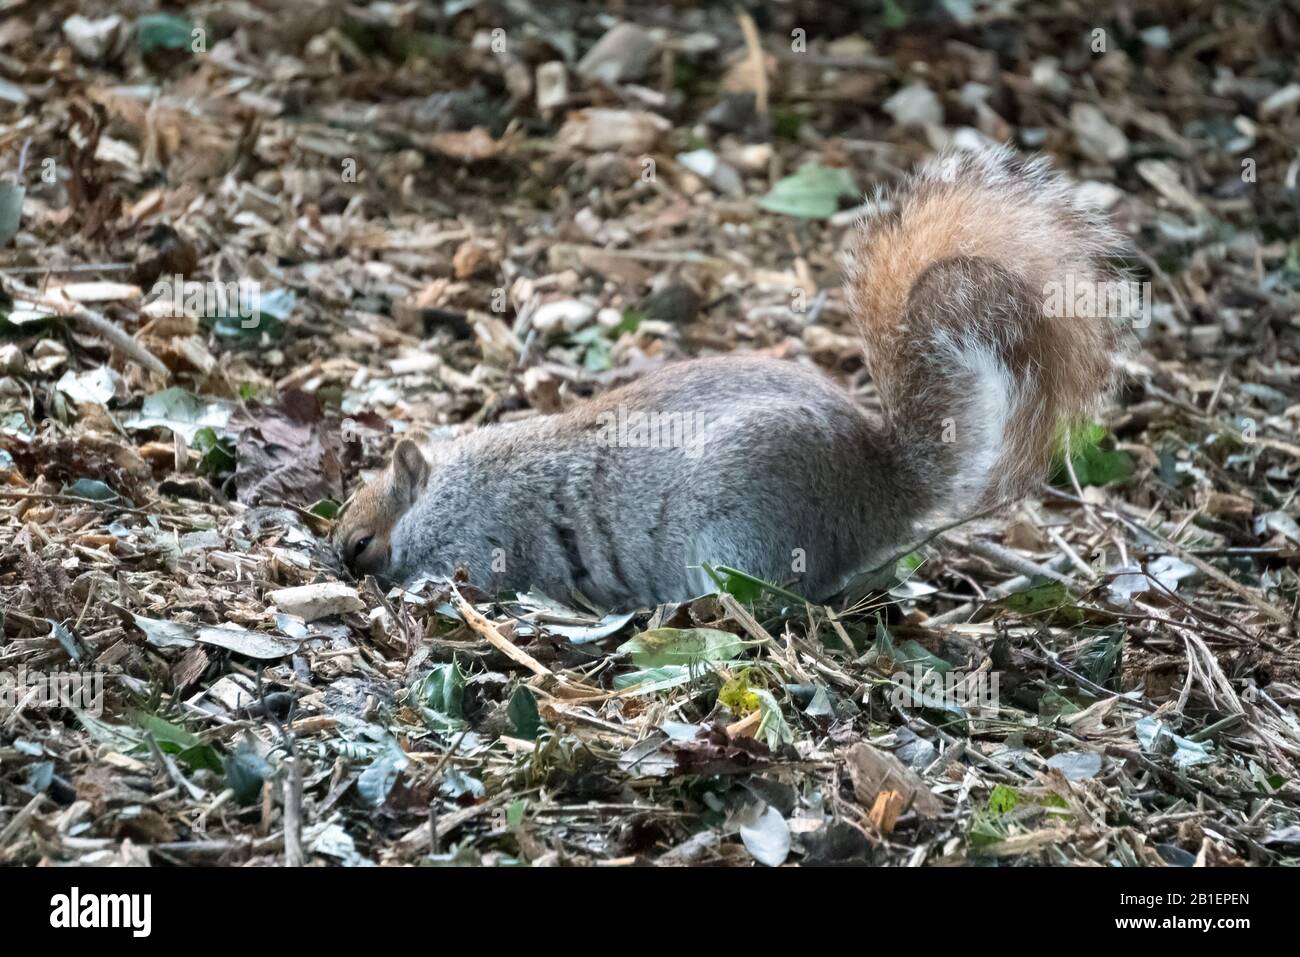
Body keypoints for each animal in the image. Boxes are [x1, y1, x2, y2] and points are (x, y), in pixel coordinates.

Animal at [336, 145, 1125, 610]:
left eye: (361, 544)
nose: (343, 569)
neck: (446, 490)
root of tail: (881, 487)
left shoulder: (481, 541)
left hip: (745, 526)